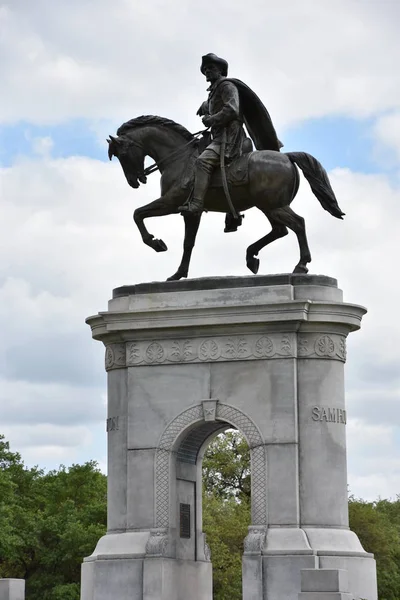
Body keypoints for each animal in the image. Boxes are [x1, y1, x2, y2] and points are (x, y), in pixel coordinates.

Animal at [107, 115, 344, 282]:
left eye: (122, 153)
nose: (134, 181)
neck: (180, 158)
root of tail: (287, 157)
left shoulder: (172, 203)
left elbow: (138, 214)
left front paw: (156, 243)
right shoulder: (192, 212)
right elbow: (188, 243)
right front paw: (178, 274)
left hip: (274, 206)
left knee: (298, 224)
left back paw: (301, 265)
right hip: (269, 207)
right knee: (280, 230)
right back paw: (251, 256)